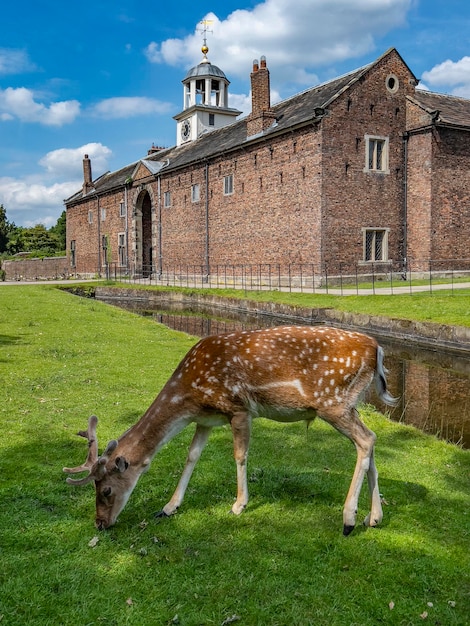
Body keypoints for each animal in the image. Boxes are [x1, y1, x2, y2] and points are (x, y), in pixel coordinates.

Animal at [64, 324, 396, 532]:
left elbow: (239, 455)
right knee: (371, 441)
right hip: (349, 405)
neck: (189, 396)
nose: (100, 524)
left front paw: (238, 505)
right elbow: (192, 456)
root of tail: (378, 350)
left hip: (333, 402)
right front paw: (169, 507)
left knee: (366, 440)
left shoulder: (239, 408)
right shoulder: (205, 419)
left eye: (106, 489)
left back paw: (349, 519)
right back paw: (374, 518)